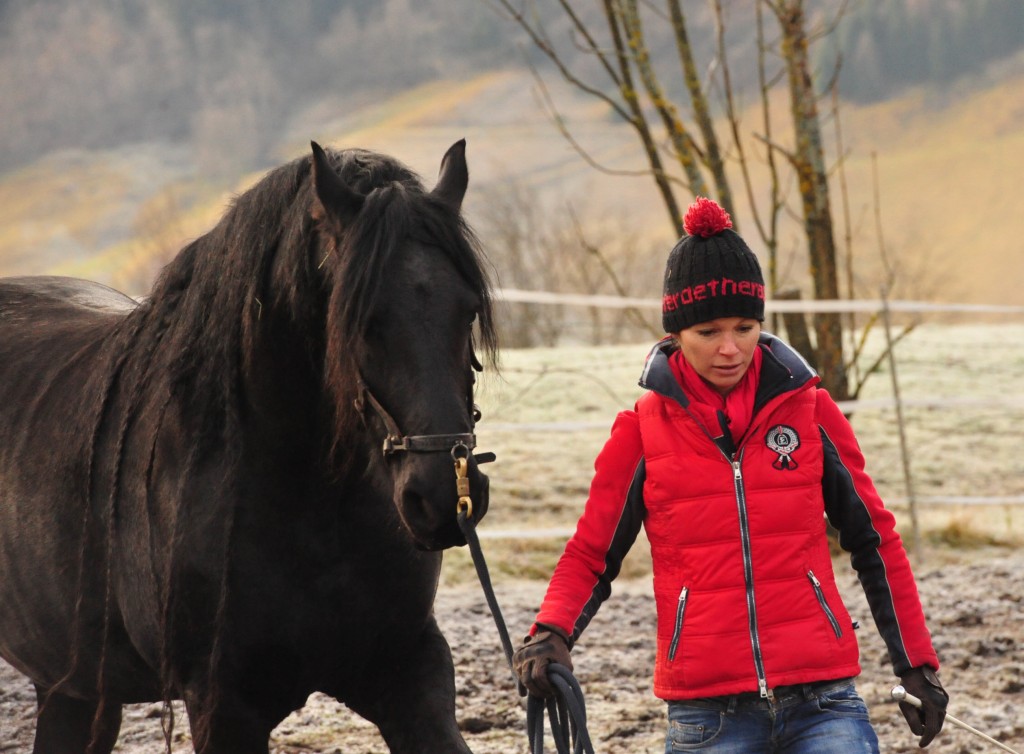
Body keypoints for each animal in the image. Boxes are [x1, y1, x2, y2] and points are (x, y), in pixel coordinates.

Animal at [0, 138, 495, 749]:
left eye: (467, 309)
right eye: (360, 319)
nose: (443, 498)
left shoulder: (409, 673)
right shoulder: (223, 706)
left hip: (73, 686)